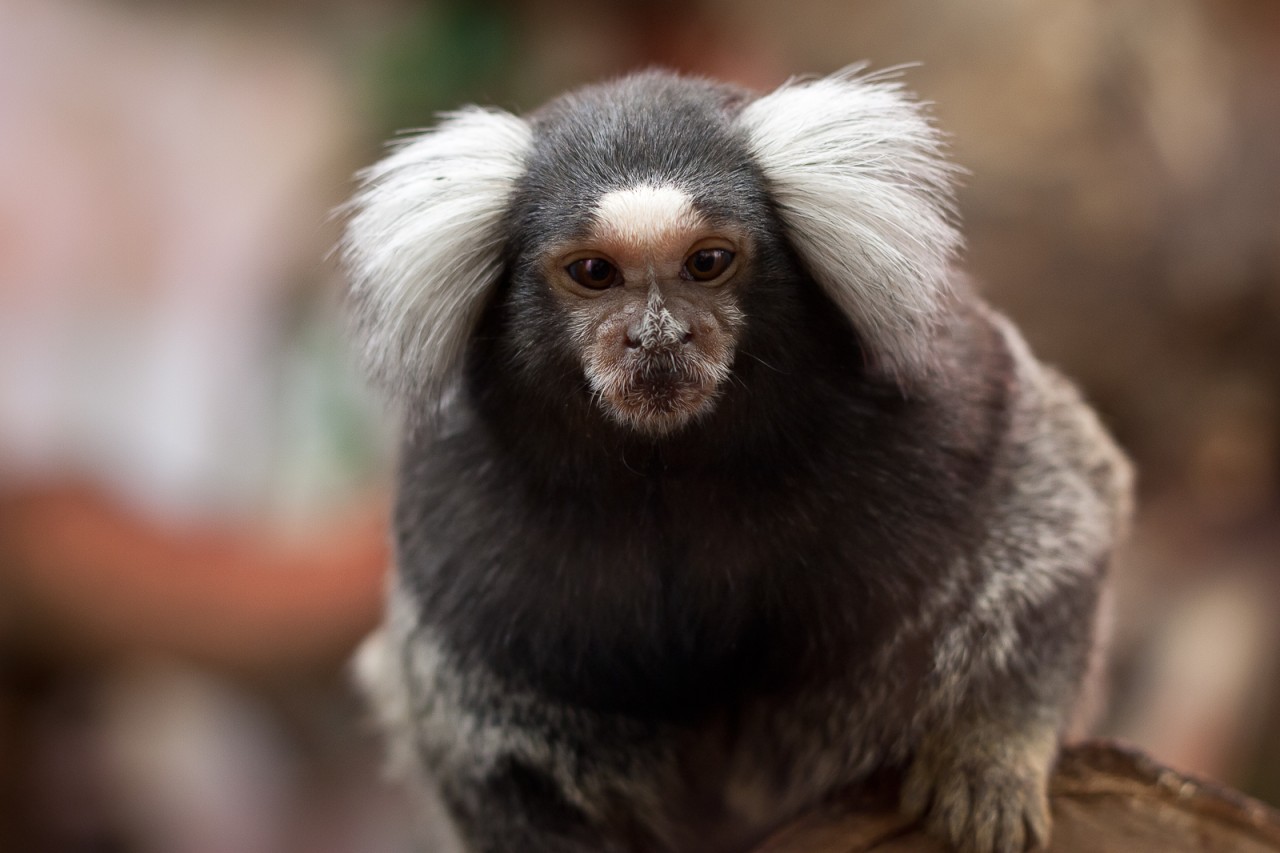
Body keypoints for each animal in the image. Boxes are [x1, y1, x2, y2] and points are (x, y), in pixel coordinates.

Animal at [342, 68, 1133, 853]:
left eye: (707, 262)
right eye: (594, 272)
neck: (669, 465)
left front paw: (987, 752)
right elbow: (486, 730)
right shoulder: (452, 521)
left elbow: (1050, 530)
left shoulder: (956, 407)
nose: (658, 336)